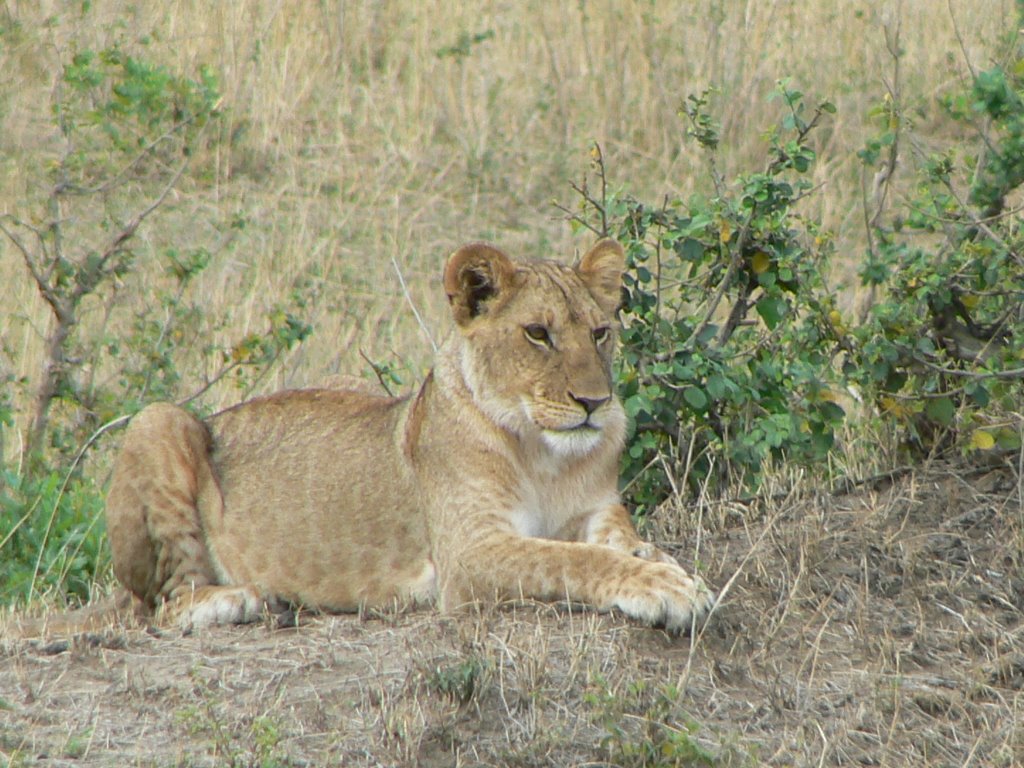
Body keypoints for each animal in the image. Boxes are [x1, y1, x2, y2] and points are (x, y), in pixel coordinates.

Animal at [101, 239, 712, 630]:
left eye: (601, 332)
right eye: (538, 334)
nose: (594, 403)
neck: (546, 454)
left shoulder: (594, 509)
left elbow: (617, 540)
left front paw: (661, 563)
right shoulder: (469, 554)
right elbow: (574, 561)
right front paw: (665, 589)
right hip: (158, 419)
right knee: (164, 604)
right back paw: (237, 601)